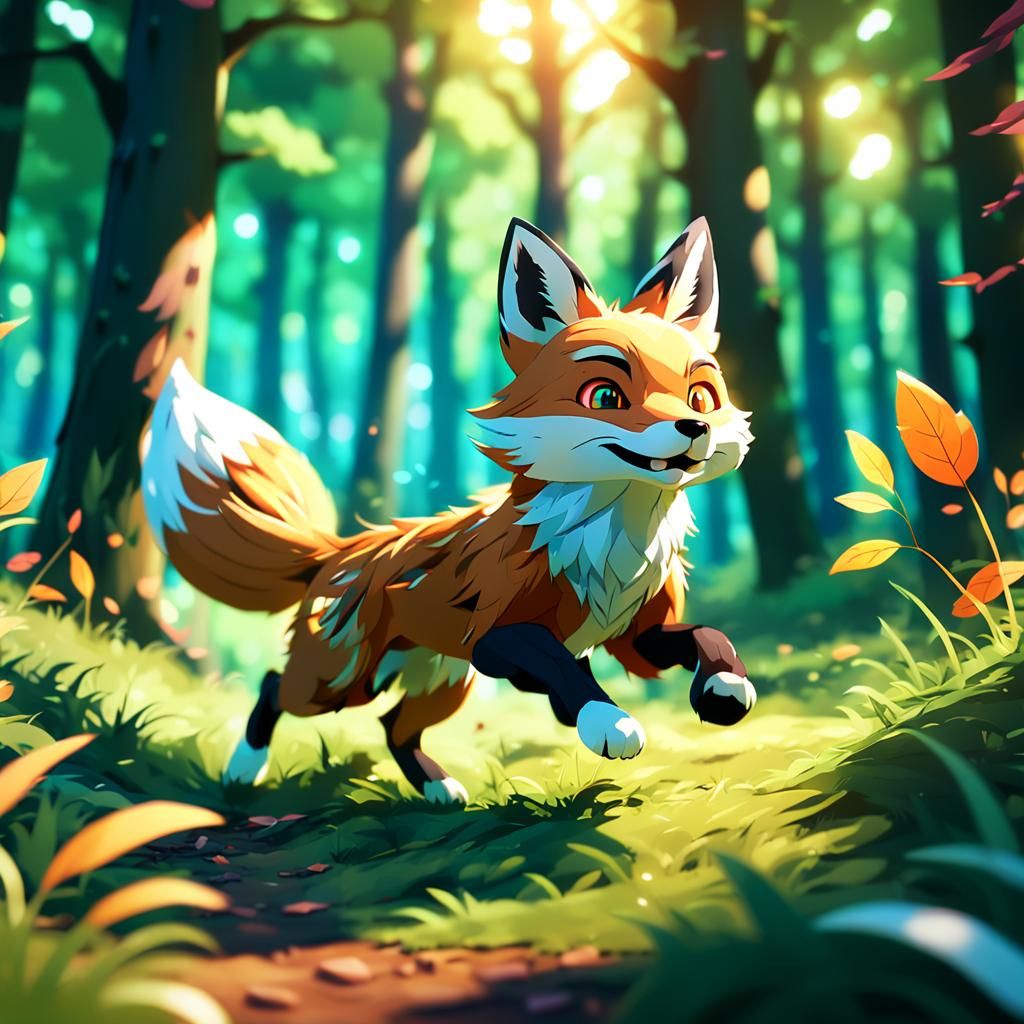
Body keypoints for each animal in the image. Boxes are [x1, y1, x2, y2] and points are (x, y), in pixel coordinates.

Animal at [141, 215, 756, 805]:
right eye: (605, 397)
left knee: (395, 728)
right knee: (275, 685)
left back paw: (438, 788)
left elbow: (706, 636)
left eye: (701, 397)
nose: (695, 427)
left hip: (443, 682)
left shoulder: (635, 632)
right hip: (340, 680)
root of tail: (342, 549)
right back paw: (243, 769)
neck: (610, 542)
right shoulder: (496, 636)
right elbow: (559, 663)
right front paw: (606, 719)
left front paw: (724, 687)